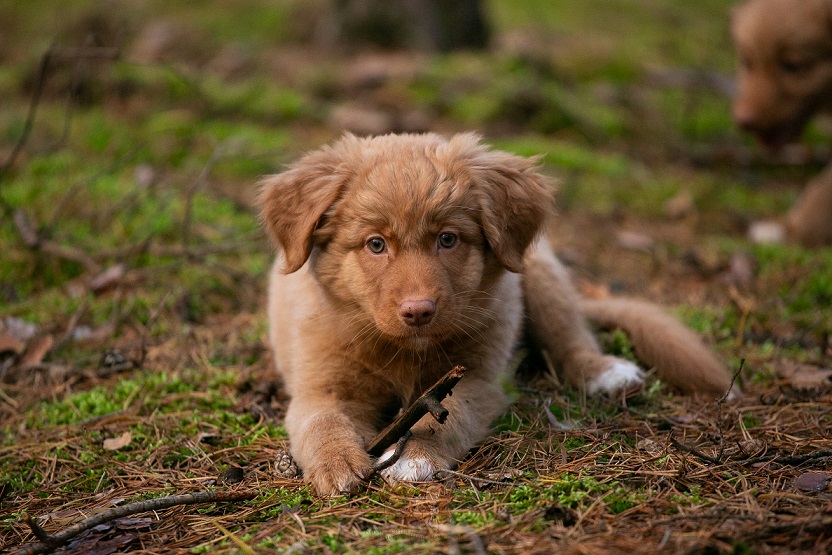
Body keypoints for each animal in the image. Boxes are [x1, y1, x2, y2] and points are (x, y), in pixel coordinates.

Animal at [259, 133, 734, 496]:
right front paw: (337, 465)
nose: (418, 311)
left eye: (447, 239)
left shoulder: (478, 379)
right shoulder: (321, 387)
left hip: (538, 275)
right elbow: (320, 423)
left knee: (570, 337)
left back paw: (605, 373)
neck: (405, 351)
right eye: (376, 244)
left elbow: (446, 418)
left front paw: (415, 459)